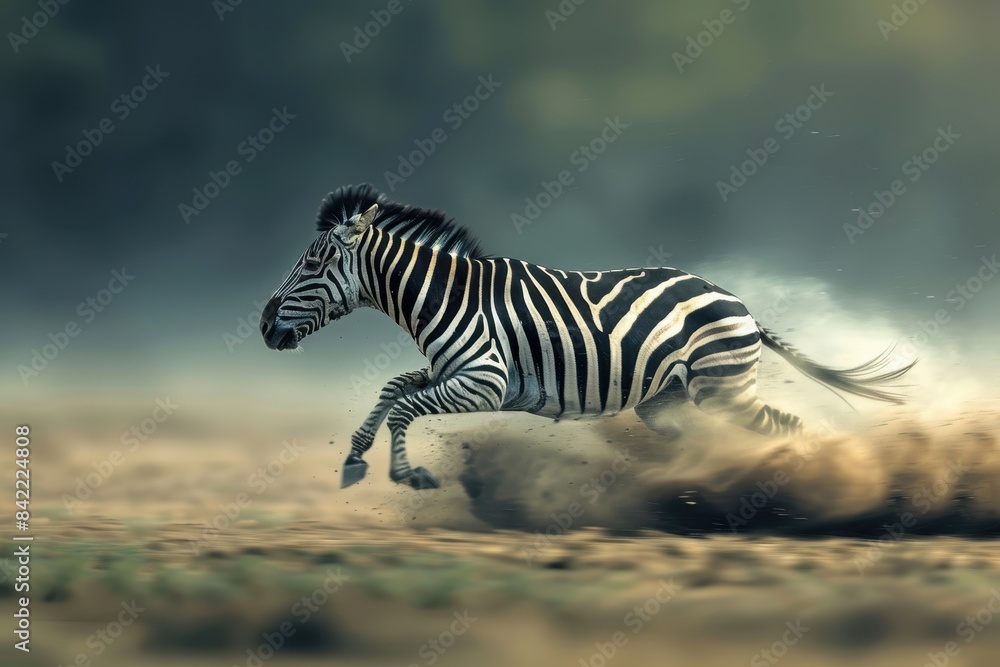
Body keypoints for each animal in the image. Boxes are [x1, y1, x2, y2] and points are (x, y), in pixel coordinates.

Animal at [260, 184, 913, 490]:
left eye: (312, 265)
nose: (264, 327)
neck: (448, 297)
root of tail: (742, 306)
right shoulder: (452, 373)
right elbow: (393, 389)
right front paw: (353, 459)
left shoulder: (486, 380)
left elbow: (404, 407)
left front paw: (407, 475)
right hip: (668, 402)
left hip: (723, 392)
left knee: (788, 428)